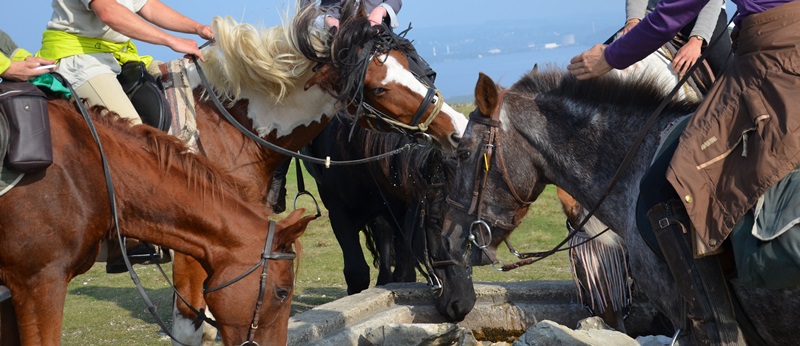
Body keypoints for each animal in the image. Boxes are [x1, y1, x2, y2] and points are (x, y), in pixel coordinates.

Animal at [168, 3, 466, 344]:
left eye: (418, 71)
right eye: (378, 88)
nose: (458, 128)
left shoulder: (402, 206)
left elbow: (401, 273)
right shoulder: (337, 209)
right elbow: (356, 273)